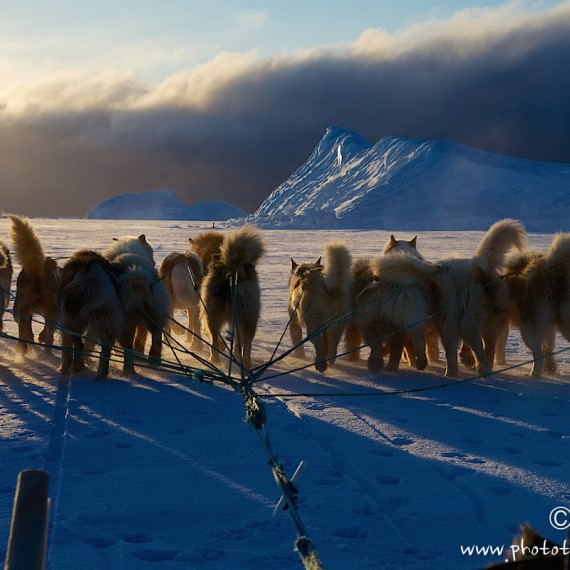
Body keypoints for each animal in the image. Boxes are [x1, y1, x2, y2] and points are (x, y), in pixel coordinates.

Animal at [59, 250, 125, 378]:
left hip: (72, 321)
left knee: (79, 345)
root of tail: (94, 277)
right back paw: (100, 375)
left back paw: (76, 368)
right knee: (105, 351)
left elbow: (67, 349)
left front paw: (64, 368)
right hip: (105, 319)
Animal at [288, 241, 350, 370]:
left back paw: (320, 365)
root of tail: (328, 290)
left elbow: (296, 336)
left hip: (313, 325)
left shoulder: (294, 318)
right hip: (337, 325)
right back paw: (328, 362)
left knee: (319, 344)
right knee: (332, 347)